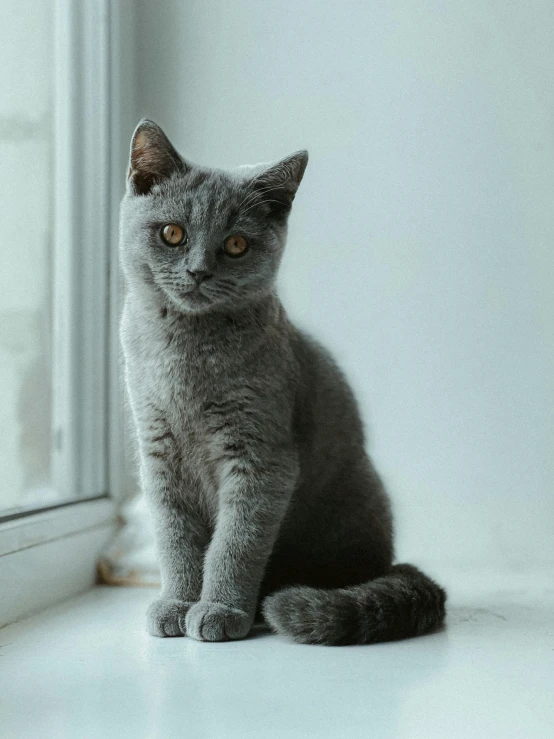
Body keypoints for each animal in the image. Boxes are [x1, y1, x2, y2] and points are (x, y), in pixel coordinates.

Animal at [119, 118, 444, 644]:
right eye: (172, 233)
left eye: (236, 244)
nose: (198, 271)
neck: (186, 350)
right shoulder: (158, 452)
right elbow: (175, 537)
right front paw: (177, 603)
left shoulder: (261, 456)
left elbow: (236, 542)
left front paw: (219, 609)